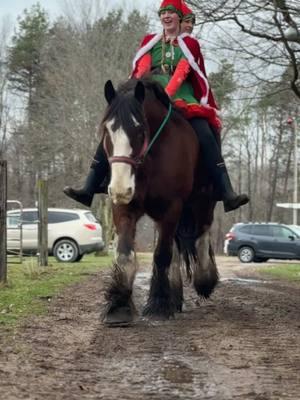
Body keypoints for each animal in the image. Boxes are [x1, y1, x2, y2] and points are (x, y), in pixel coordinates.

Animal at [101, 77, 218, 324]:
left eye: (139, 129)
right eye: (107, 130)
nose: (120, 188)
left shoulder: (171, 207)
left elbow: (162, 255)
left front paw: (159, 304)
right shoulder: (125, 208)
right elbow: (125, 254)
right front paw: (119, 305)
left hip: (204, 198)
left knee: (203, 231)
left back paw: (204, 279)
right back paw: (175, 295)